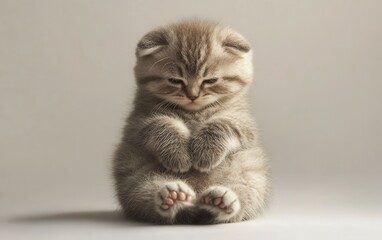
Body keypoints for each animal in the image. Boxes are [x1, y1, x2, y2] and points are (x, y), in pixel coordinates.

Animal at [112, 19, 268, 224]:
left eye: (210, 80)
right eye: (174, 80)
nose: (193, 96)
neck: (194, 113)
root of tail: (197, 203)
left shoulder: (242, 120)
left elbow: (222, 124)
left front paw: (204, 153)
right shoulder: (138, 123)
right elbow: (161, 125)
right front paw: (180, 156)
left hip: (251, 174)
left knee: (242, 198)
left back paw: (220, 201)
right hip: (133, 176)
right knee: (146, 195)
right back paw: (173, 197)